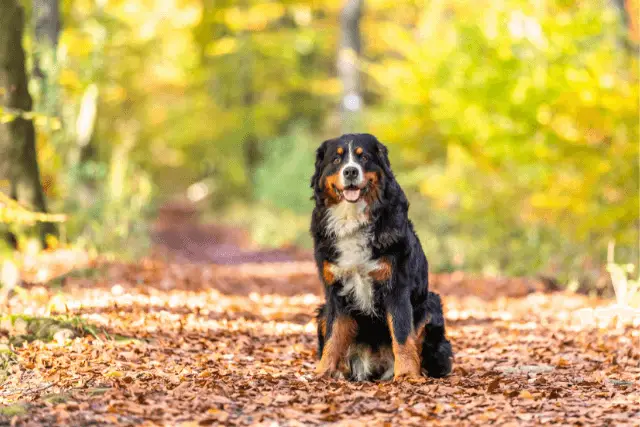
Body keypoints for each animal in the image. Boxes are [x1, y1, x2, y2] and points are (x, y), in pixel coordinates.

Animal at [308, 134, 450, 382]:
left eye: (363, 157)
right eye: (336, 159)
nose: (350, 171)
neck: (353, 219)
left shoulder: (396, 287)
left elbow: (402, 334)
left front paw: (407, 374)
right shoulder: (335, 292)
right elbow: (333, 337)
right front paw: (323, 372)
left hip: (431, 305)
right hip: (322, 311)